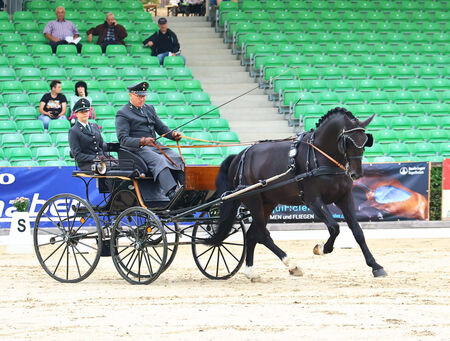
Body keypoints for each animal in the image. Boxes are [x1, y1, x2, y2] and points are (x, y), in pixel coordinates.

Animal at [209, 107, 384, 278]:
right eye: (348, 142)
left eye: (365, 141)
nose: (356, 173)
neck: (321, 157)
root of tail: (239, 156)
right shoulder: (313, 201)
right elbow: (334, 227)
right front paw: (321, 248)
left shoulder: (345, 198)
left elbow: (357, 231)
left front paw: (375, 266)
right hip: (253, 200)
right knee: (262, 234)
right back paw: (291, 264)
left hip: (268, 203)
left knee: (253, 234)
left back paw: (251, 270)